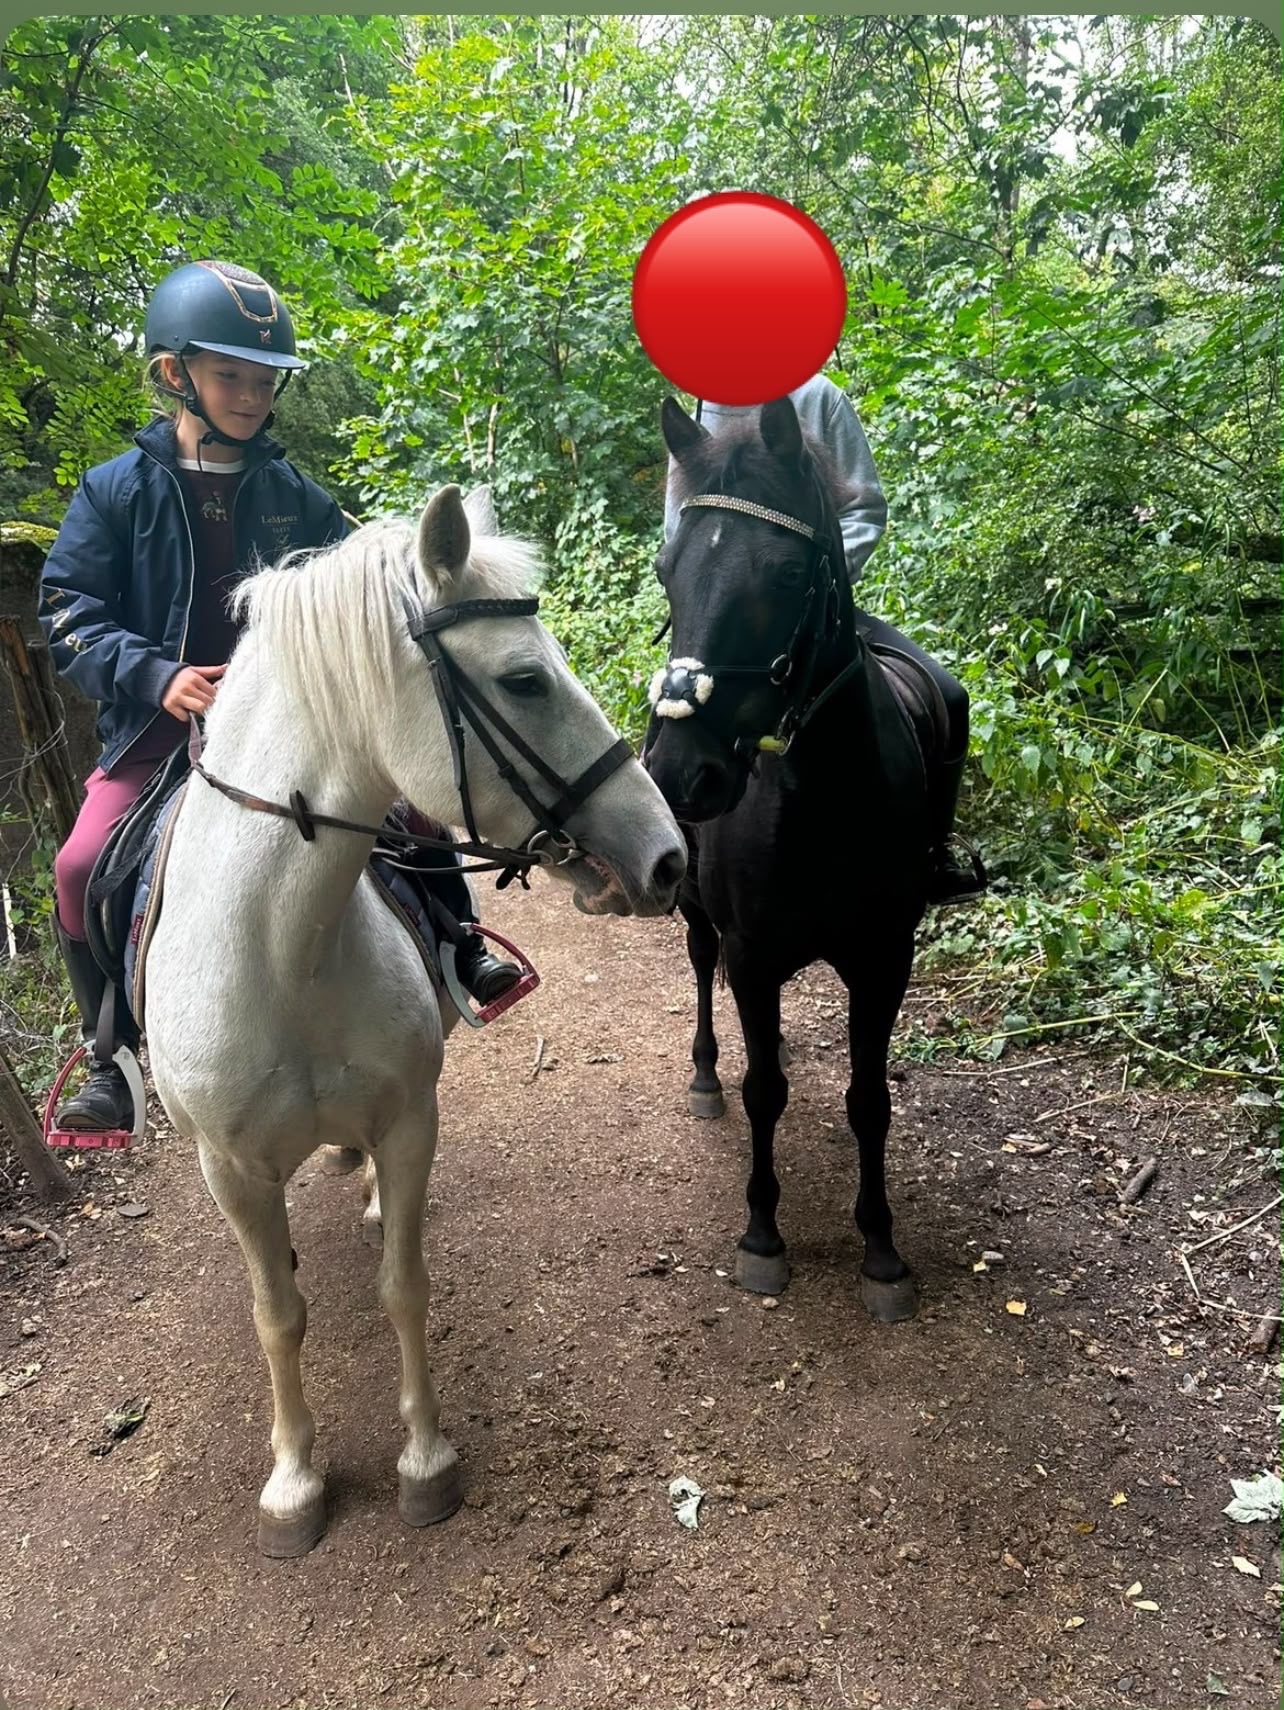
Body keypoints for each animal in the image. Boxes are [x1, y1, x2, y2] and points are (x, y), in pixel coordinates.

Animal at [141, 483, 686, 1556]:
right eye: (524, 681)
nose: (667, 855)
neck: (285, 955)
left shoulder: (408, 1122)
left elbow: (403, 1284)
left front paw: (426, 1460)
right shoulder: (230, 1169)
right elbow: (277, 1315)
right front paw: (294, 1482)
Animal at [645, 396, 933, 1322]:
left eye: (781, 575)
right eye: (667, 570)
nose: (681, 773)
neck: (823, 798)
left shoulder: (884, 958)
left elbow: (869, 1099)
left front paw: (881, 1250)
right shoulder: (753, 955)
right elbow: (763, 1090)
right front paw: (763, 1237)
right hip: (703, 919)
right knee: (702, 972)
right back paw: (706, 1076)